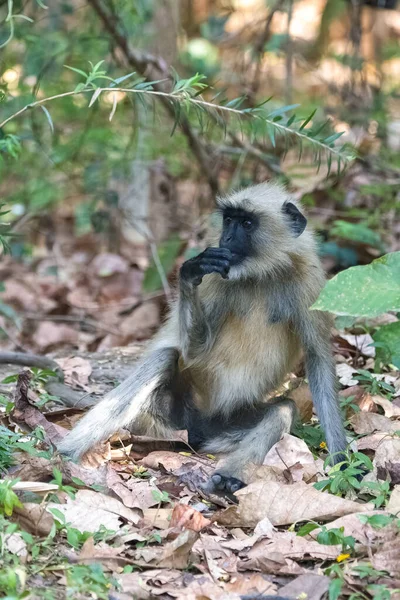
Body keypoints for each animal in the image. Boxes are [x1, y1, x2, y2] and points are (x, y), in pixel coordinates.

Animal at [58, 182, 346, 492]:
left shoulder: (312, 284)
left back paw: (228, 477)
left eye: (247, 223)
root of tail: (195, 431)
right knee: (165, 357)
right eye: (229, 220)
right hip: (163, 417)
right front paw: (189, 272)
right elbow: (194, 351)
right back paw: (64, 452)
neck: (262, 274)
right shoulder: (217, 277)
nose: (227, 236)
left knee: (283, 409)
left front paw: (342, 461)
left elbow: (318, 359)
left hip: (222, 427)